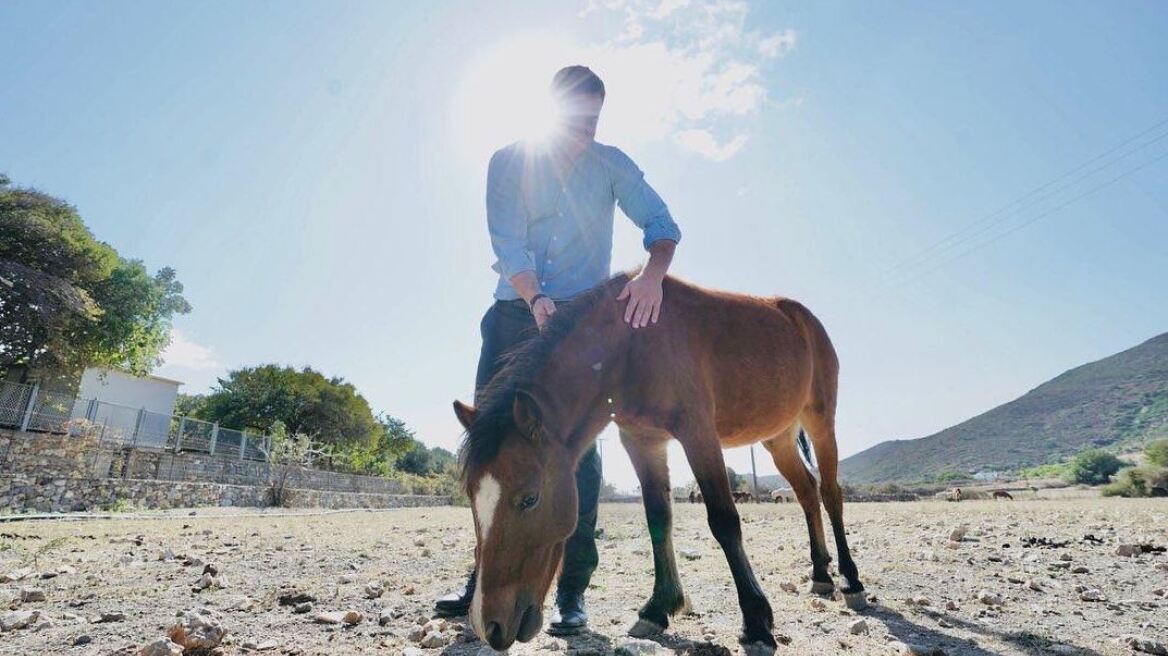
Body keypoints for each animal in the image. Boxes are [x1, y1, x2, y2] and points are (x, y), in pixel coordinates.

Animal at [455, 273, 868, 648]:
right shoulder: (643, 441)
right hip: (778, 439)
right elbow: (658, 519)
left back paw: (850, 580)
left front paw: (755, 621)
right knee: (807, 493)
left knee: (830, 494)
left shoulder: (698, 434)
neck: (632, 345)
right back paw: (821, 574)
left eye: (529, 499)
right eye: (471, 499)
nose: (489, 625)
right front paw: (658, 608)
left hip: (820, 421)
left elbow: (724, 521)